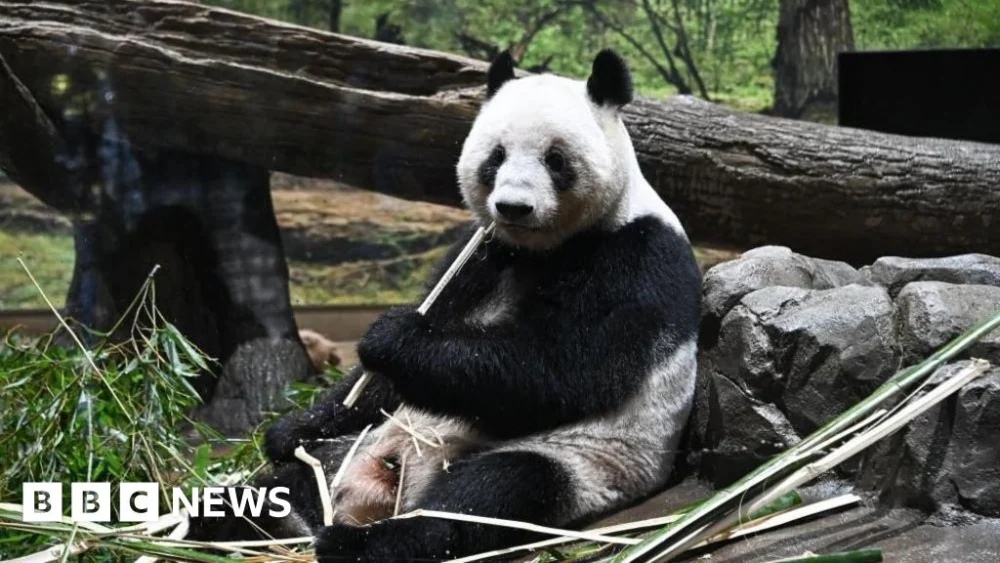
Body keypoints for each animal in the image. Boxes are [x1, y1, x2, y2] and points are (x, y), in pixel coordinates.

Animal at [187, 49, 702, 562]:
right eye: (496, 157)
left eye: (555, 160)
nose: (513, 207)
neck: (540, 250)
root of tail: (384, 490)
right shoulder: (479, 254)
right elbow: (382, 380)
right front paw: (291, 430)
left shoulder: (634, 257)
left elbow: (561, 369)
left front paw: (394, 338)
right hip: (356, 447)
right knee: (299, 480)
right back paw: (242, 517)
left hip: (583, 462)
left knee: (491, 493)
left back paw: (365, 542)